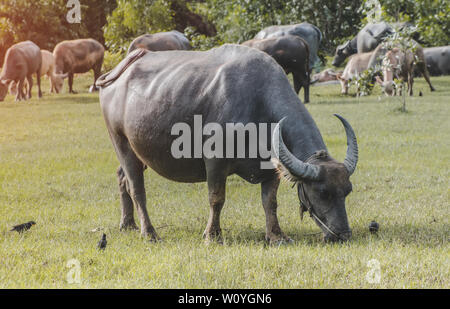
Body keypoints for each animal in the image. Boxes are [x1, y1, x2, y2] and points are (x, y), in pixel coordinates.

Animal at [96, 45, 360, 243]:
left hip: (140, 151)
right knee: (136, 188)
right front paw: (212, 235)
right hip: (120, 142)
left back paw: (127, 224)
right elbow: (217, 198)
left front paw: (277, 235)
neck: (258, 105)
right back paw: (149, 233)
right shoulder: (215, 161)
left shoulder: (271, 168)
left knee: (121, 178)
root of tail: (118, 72)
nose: (343, 235)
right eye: (322, 192)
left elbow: (270, 202)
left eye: (347, 191)